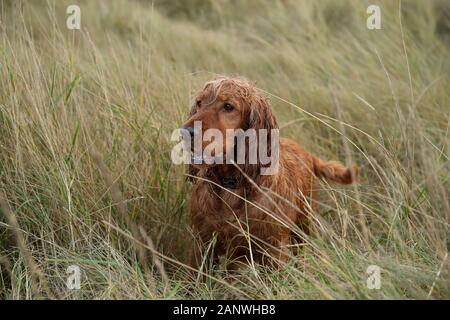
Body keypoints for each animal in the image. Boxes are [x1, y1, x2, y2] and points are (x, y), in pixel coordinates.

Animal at [180, 77, 358, 270]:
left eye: (228, 106)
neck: (232, 185)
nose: (185, 132)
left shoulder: (275, 249)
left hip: (303, 229)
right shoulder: (202, 244)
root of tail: (307, 153)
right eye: (199, 103)